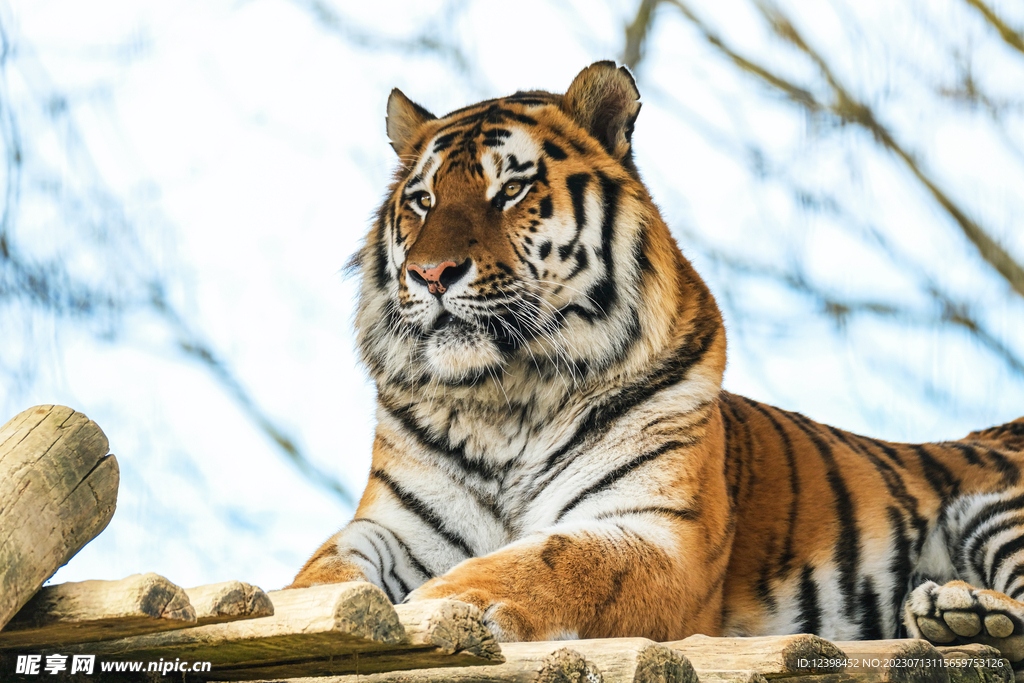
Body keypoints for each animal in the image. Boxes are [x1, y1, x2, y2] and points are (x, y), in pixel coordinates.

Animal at [289, 61, 1024, 661]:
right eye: (422, 200)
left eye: (511, 192)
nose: (430, 274)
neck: (507, 398)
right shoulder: (392, 526)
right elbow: (324, 575)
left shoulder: (663, 532)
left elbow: (555, 557)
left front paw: (449, 602)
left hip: (990, 511)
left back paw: (965, 610)